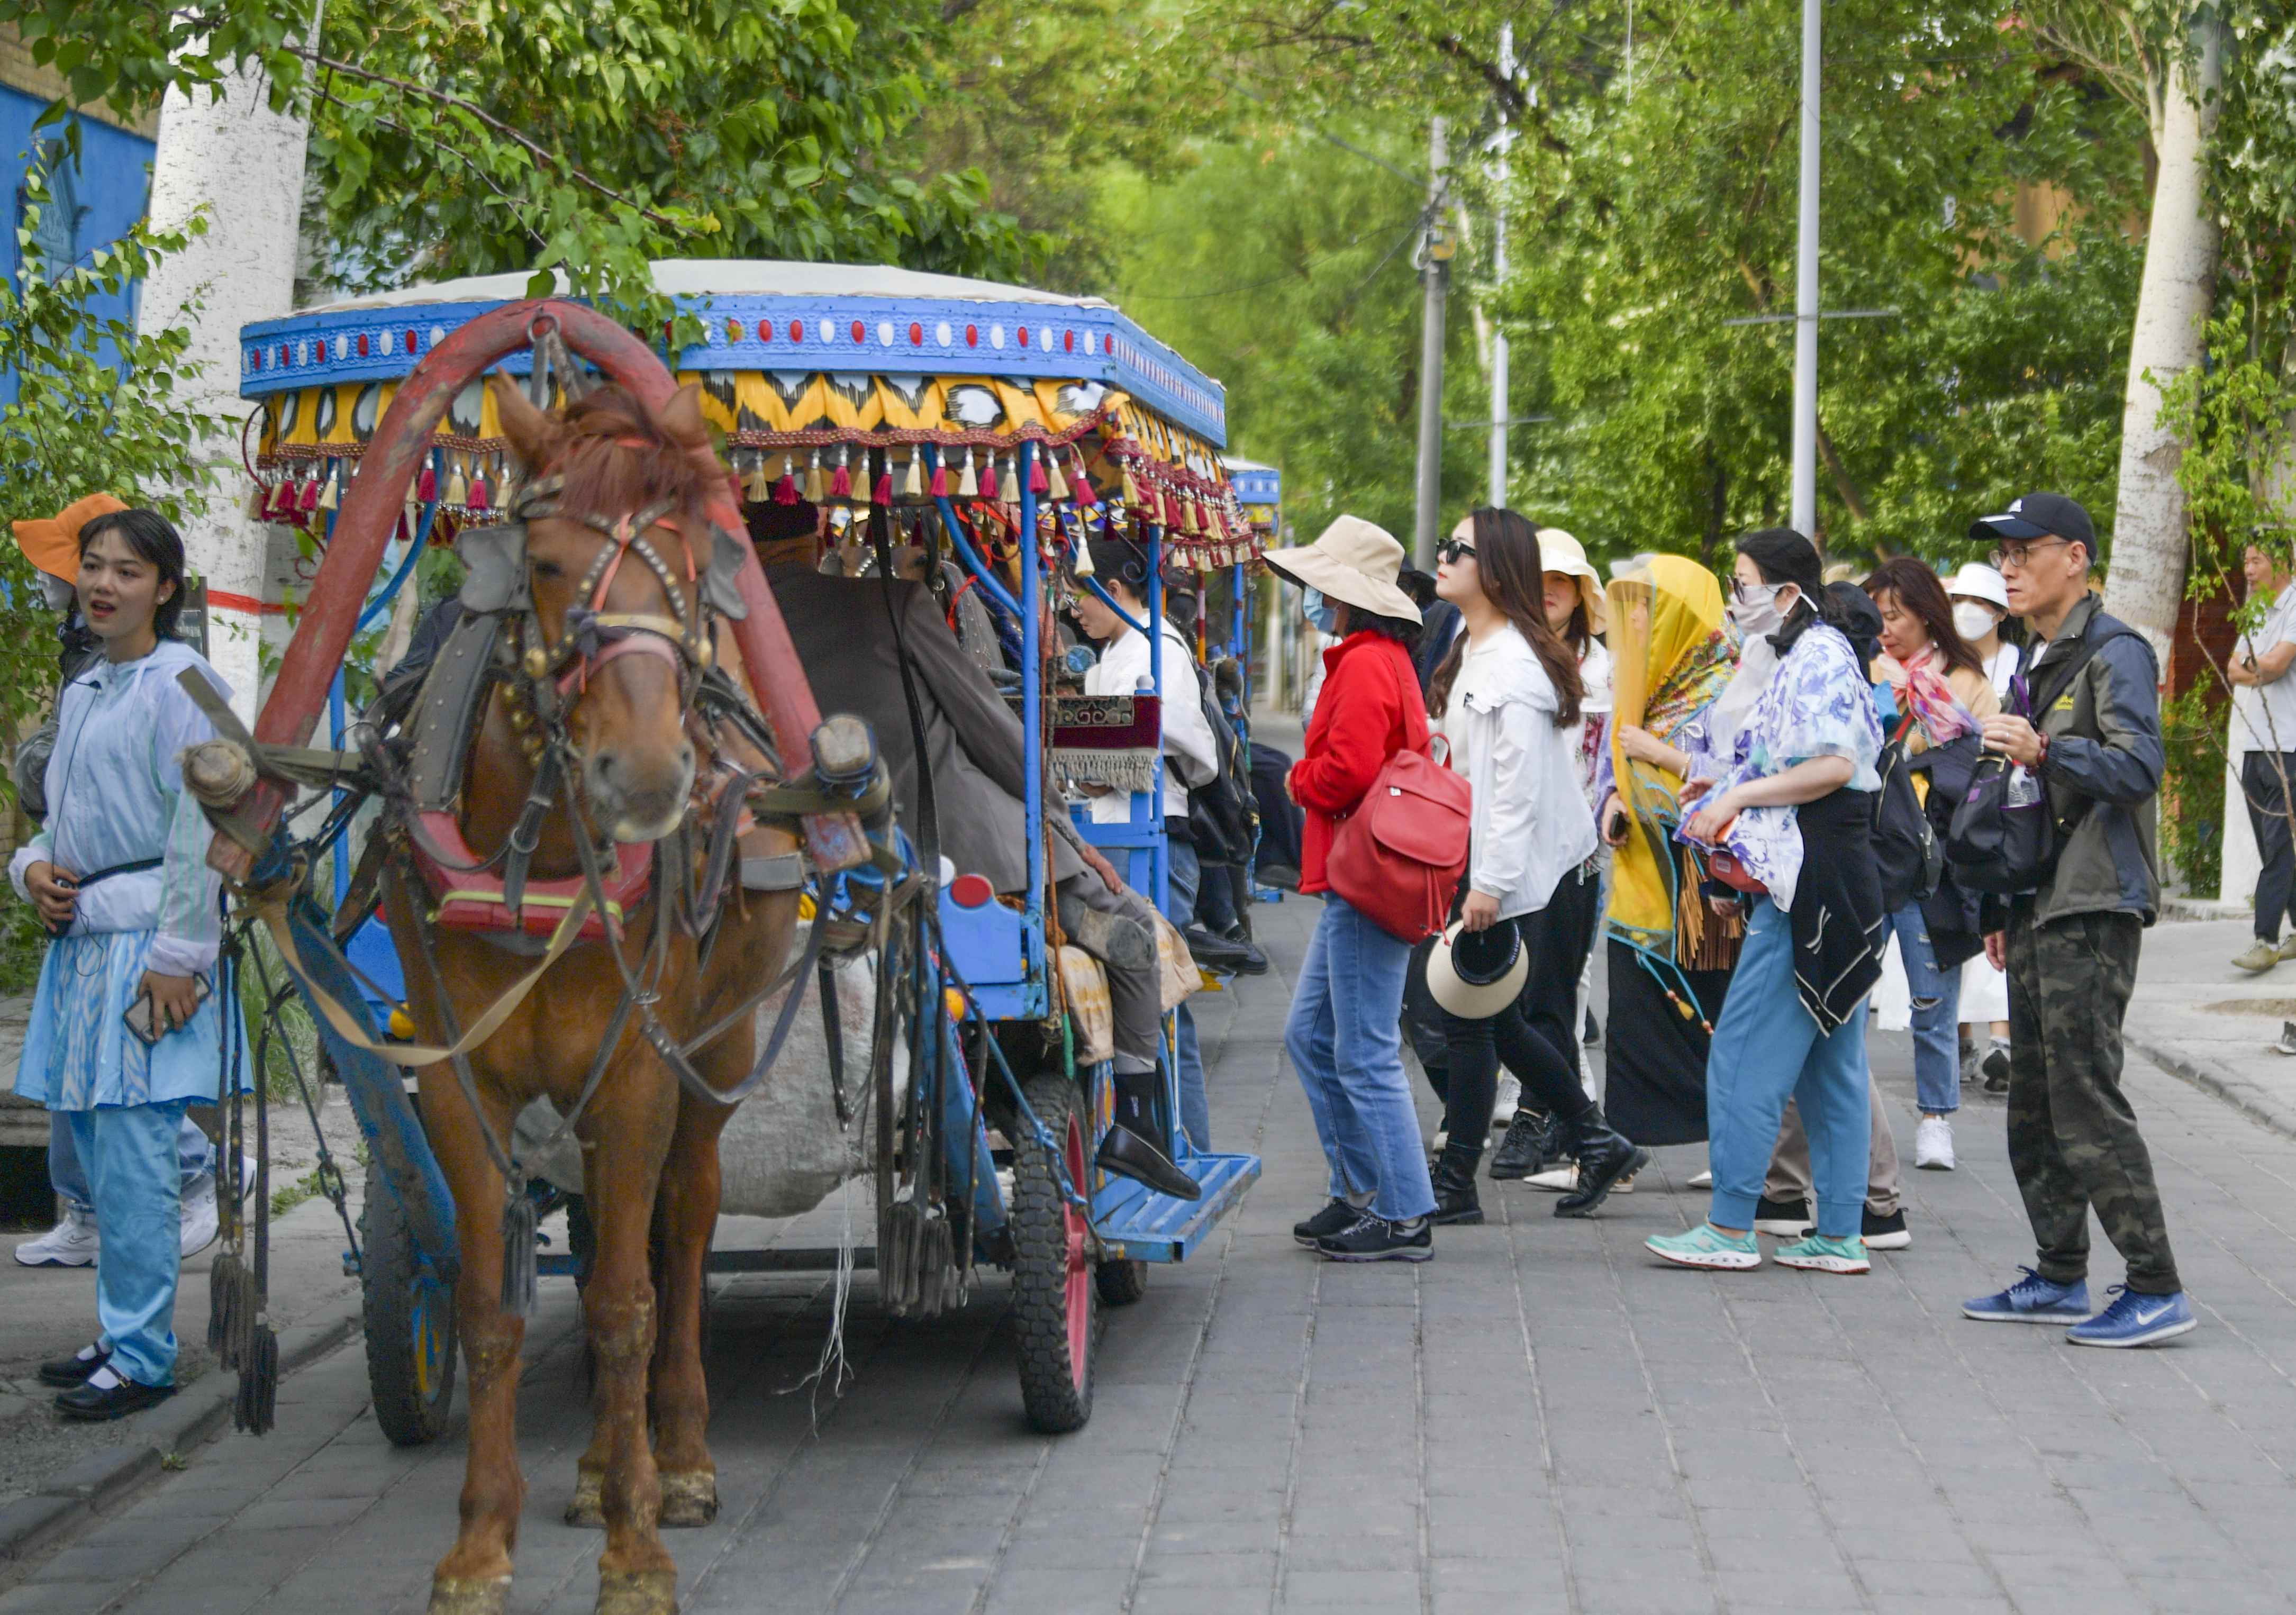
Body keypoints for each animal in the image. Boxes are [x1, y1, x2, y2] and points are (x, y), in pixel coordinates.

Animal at [399, 376, 813, 1615]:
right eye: (540, 561)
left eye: (691, 556)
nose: (644, 776)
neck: (538, 859)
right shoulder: (459, 1080)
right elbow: (492, 1306)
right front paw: (479, 1545)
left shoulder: (636, 1073)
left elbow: (631, 1304)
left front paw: (637, 1551)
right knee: (601, 1254)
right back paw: (593, 1466)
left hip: (712, 1063)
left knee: (683, 1228)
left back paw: (674, 1458)